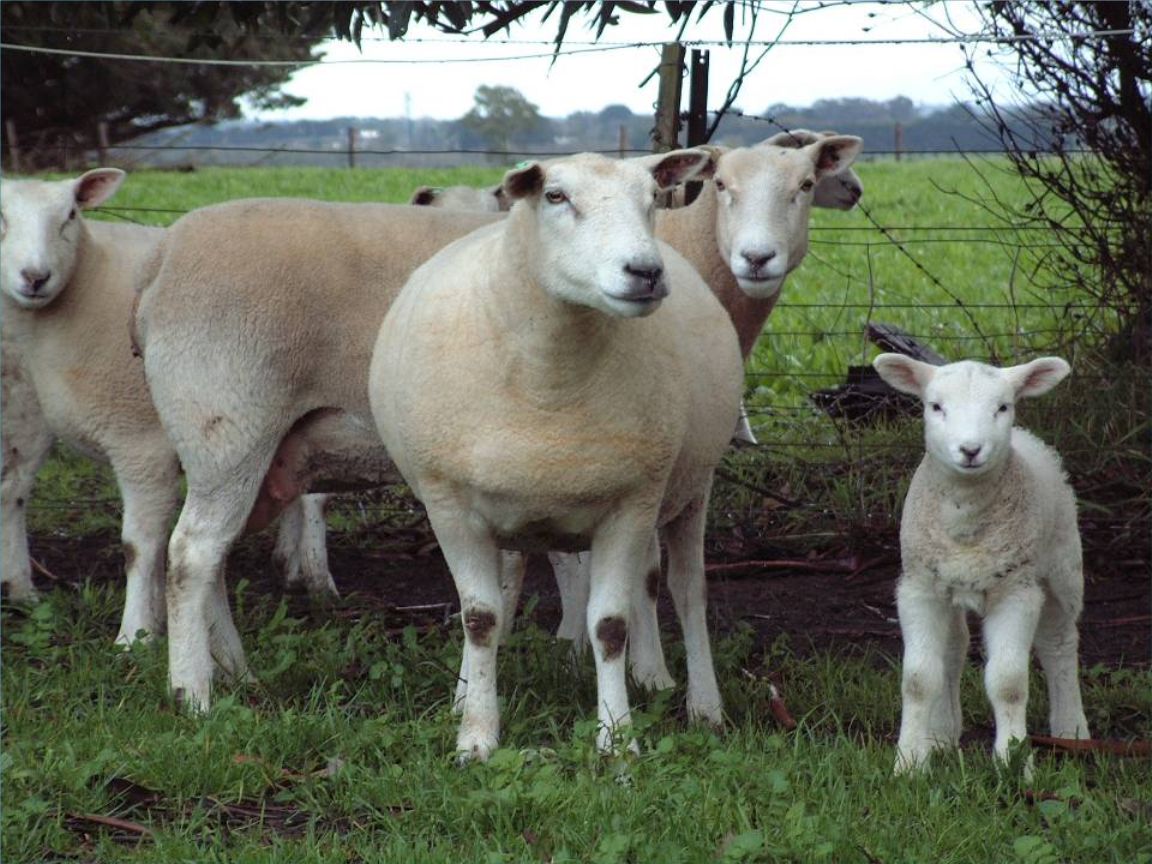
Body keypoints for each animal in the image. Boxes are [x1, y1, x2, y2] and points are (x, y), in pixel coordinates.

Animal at [0, 170, 336, 645]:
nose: (35, 276)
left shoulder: (142, 444)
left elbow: (141, 543)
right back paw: (20, 589)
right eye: (1, 218)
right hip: (23, 401)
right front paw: (147, 627)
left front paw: (137, 632)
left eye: (70, 215)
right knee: (14, 488)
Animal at [370, 152, 746, 760]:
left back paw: (702, 705)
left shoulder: (631, 501)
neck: (551, 378)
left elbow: (611, 624)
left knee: (688, 592)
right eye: (555, 197)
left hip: (691, 485)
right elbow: (480, 617)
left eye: (651, 198)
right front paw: (476, 734)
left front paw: (617, 740)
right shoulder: (449, 503)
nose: (646, 271)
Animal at [870, 354, 1087, 774]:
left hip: (1062, 566)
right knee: (953, 649)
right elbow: (918, 679)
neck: (965, 518)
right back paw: (940, 735)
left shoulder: (1016, 590)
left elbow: (1008, 682)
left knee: (1060, 643)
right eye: (935, 407)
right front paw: (909, 763)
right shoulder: (920, 589)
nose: (970, 450)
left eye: (1002, 407)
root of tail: (1028, 437)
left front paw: (1014, 763)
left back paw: (1072, 729)